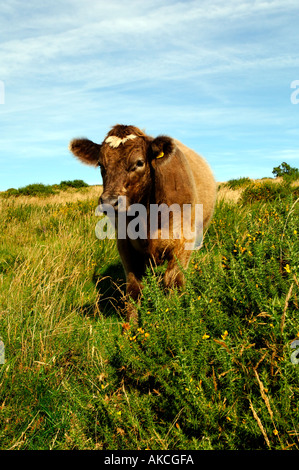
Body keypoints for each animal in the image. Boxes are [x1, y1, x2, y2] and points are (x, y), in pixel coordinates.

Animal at [69, 124, 217, 324]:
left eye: (139, 163)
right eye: (101, 164)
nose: (109, 202)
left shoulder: (183, 243)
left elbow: (173, 282)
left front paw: (175, 319)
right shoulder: (125, 244)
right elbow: (134, 287)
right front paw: (131, 324)